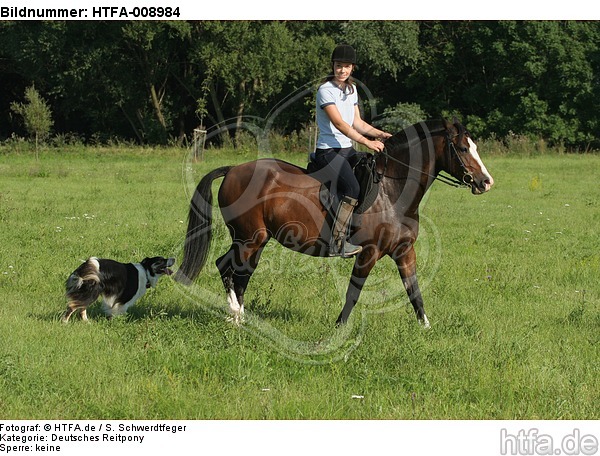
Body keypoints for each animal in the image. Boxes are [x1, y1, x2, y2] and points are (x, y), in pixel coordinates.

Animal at [173, 118, 492, 328]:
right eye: (463, 149)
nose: (486, 182)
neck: (393, 191)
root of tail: (233, 170)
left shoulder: (404, 251)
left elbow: (414, 290)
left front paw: (425, 328)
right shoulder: (369, 252)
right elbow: (354, 292)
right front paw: (340, 327)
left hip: (254, 239)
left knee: (237, 272)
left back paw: (238, 315)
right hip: (249, 238)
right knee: (229, 269)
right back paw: (237, 317)